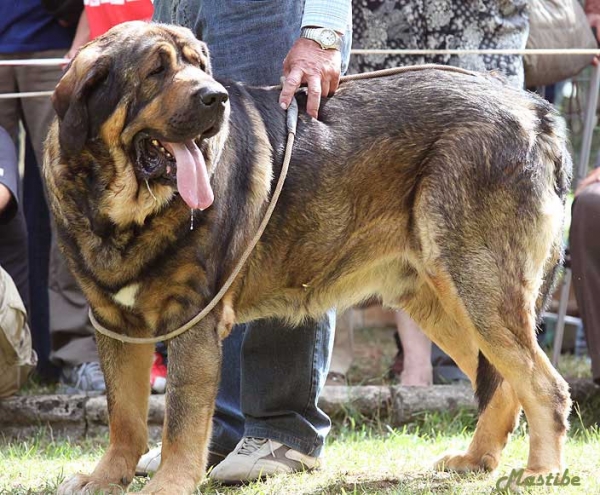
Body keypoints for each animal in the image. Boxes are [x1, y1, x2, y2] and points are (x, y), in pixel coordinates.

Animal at [45, 21, 572, 494]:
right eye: (156, 71)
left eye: (198, 66)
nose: (217, 97)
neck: (124, 214)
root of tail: (533, 109)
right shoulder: (115, 323)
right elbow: (124, 416)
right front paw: (105, 478)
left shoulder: (193, 320)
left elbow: (181, 418)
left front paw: (169, 484)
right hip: (445, 297)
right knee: (503, 381)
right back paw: (477, 459)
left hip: (478, 284)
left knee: (543, 385)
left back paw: (541, 473)